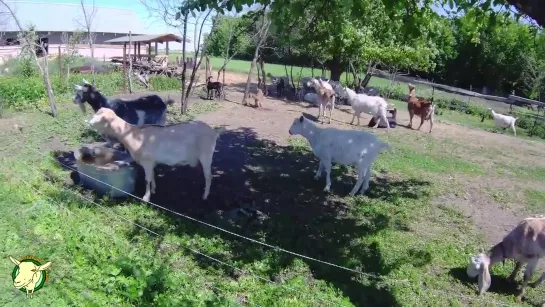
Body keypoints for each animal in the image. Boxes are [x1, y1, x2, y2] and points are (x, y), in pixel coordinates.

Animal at [88, 107, 224, 202]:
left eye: (101, 118)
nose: (89, 123)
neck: (134, 134)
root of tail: (214, 131)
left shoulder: (147, 161)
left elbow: (147, 179)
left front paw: (146, 197)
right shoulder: (152, 161)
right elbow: (152, 176)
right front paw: (153, 190)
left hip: (206, 155)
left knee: (208, 176)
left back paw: (204, 196)